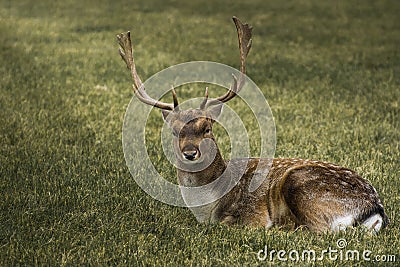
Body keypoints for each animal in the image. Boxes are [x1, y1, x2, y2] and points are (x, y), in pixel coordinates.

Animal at [115, 17, 388, 234]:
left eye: (207, 128)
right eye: (174, 130)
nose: (190, 153)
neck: (207, 207)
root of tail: (374, 208)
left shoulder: (250, 212)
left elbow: (232, 223)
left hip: (302, 185)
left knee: (317, 229)